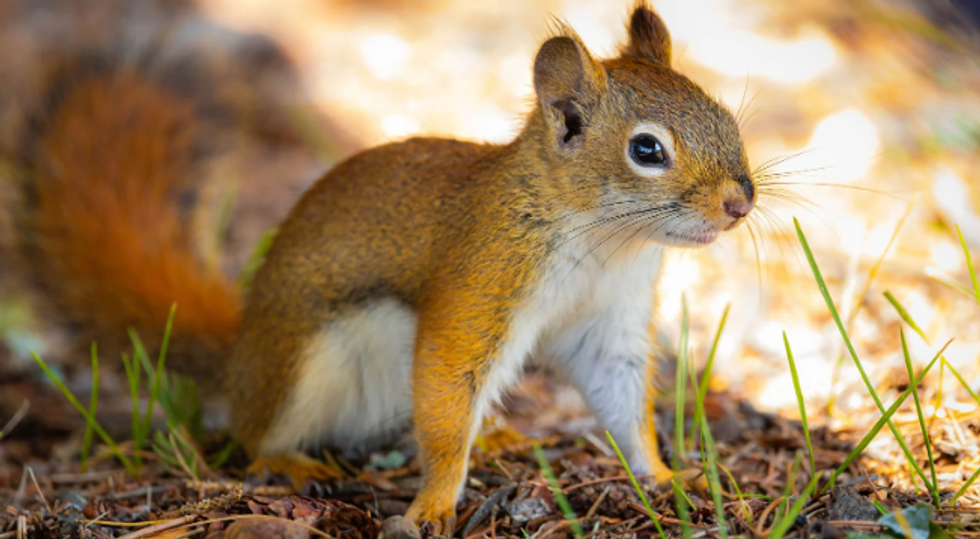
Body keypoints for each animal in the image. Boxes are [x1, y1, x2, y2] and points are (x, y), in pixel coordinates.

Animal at [9, 2, 755, 534]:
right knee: (253, 434)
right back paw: (291, 460)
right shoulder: (481, 280)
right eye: (647, 150)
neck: (605, 241)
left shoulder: (610, 318)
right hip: (306, 363)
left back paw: (495, 437)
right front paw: (434, 504)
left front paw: (663, 476)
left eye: (724, 115)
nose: (740, 203)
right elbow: (448, 391)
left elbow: (625, 403)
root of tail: (242, 354)